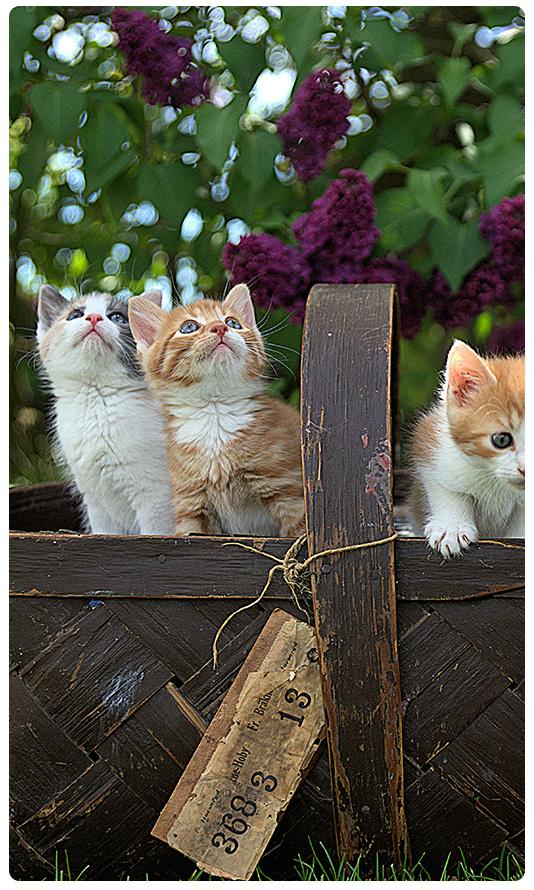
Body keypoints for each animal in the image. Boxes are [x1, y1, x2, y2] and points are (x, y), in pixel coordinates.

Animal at [38, 284, 176, 536]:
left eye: (117, 317)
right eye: (74, 315)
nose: (94, 317)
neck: (96, 398)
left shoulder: (157, 496)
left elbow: (155, 532)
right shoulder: (96, 501)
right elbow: (104, 532)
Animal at [127, 284, 308, 536]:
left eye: (233, 322)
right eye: (189, 327)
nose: (220, 327)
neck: (214, 413)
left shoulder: (288, 492)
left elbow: (299, 535)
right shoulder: (190, 505)